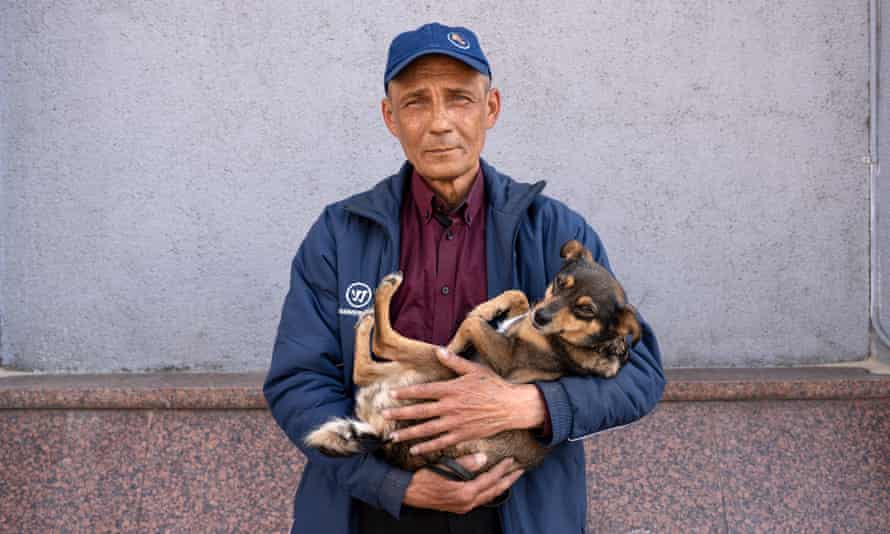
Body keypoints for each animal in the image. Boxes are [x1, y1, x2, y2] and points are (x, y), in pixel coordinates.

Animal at [306, 241, 640, 476]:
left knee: (382, 347)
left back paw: (386, 293)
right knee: (366, 368)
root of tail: (385, 438)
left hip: (434, 367)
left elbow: (471, 323)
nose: (541, 317)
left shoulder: (506, 357)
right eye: (561, 283)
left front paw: (462, 334)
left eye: (586, 310)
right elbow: (518, 295)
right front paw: (494, 308)